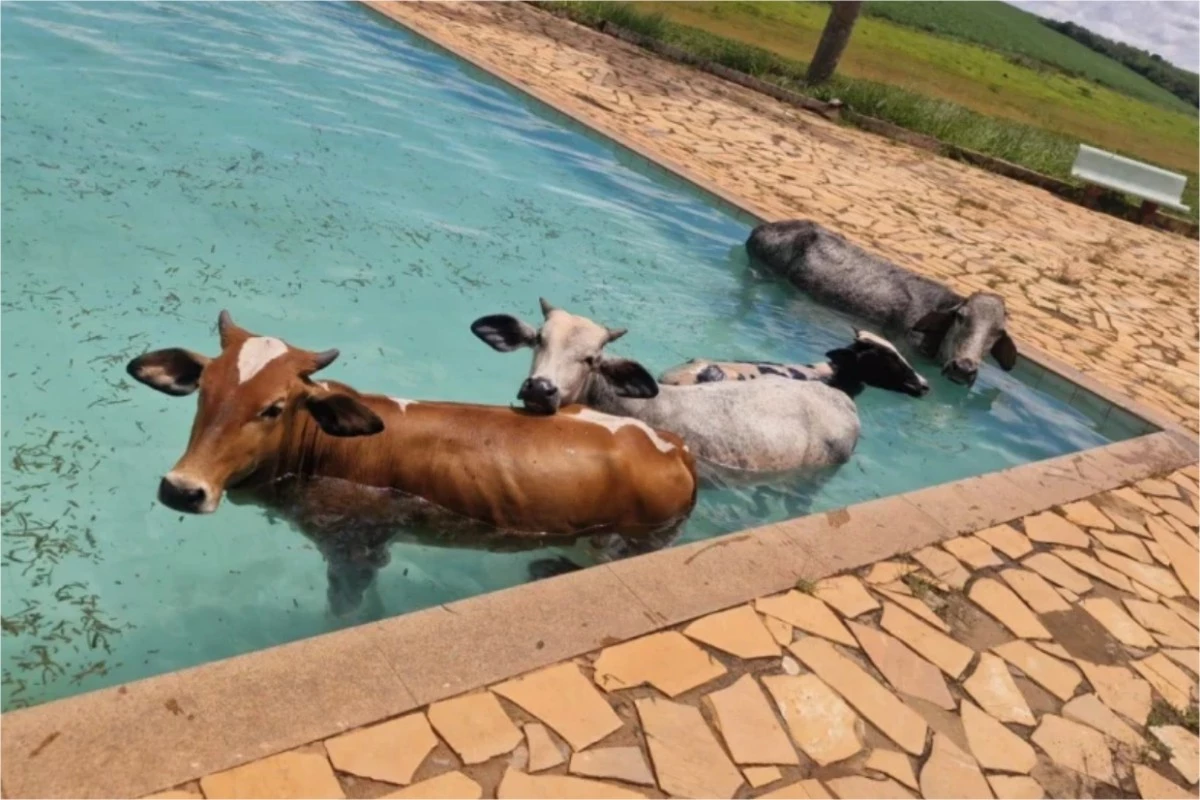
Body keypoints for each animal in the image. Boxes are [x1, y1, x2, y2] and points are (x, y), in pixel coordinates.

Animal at [127, 311, 697, 613]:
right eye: (204, 390)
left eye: (274, 407)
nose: (182, 488)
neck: (325, 444)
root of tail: (672, 444)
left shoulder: (355, 548)